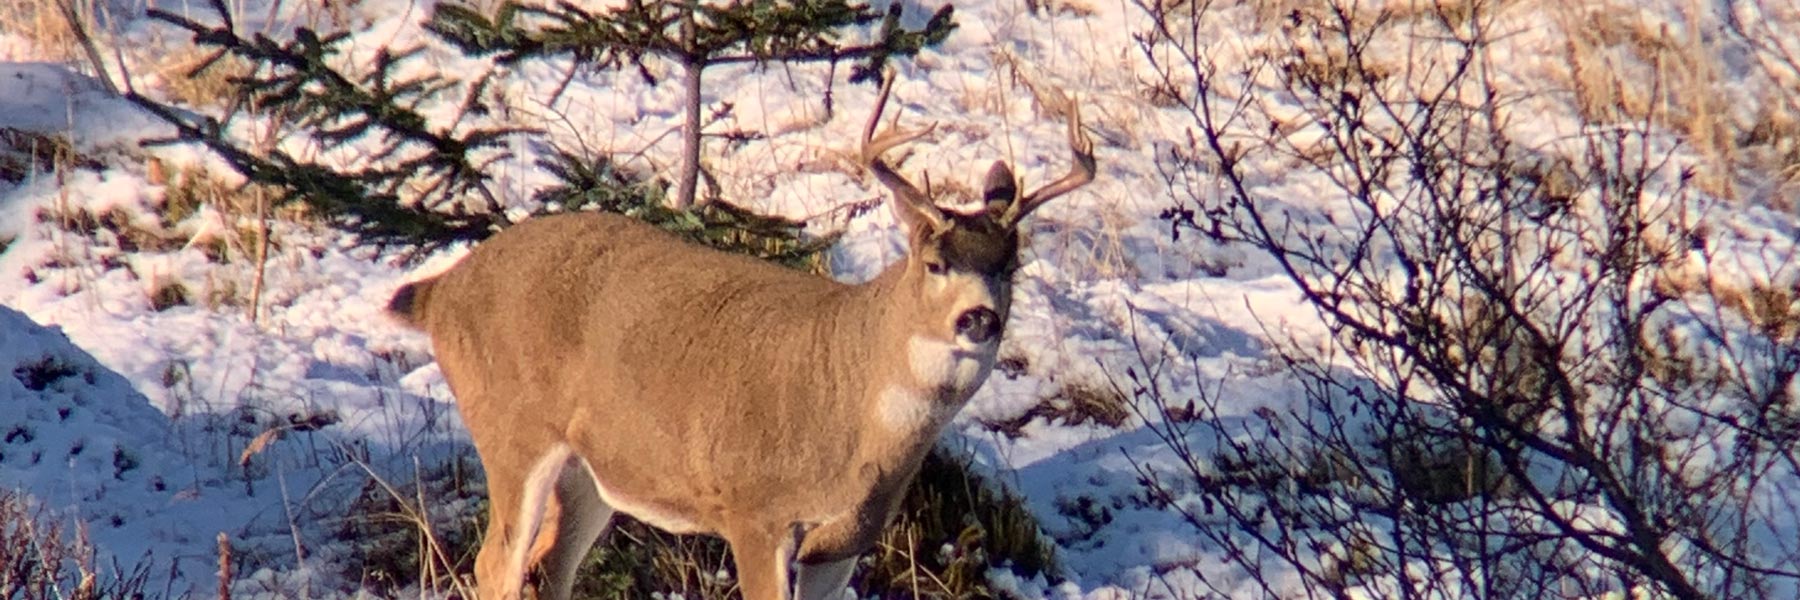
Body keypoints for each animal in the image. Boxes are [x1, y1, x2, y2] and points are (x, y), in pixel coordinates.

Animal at [388, 76, 1094, 598]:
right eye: (935, 262)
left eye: (1010, 266)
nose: (979, 319)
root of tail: (442, 290)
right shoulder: (755, 512)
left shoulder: (845, 540)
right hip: (511, 428)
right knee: (497, 566)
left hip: (591, 470)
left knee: (548, 566)